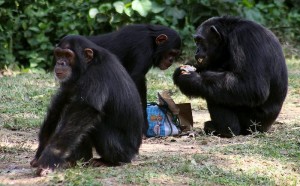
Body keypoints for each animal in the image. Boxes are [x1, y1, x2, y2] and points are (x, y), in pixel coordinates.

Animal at [31, 35, 144, 176]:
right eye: (59, 54)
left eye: (68, 55)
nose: (60, 62)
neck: (87, 66)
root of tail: (135, 152)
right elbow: (61, 101)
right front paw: (40, 153)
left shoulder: (96, 76)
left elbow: (84, 110)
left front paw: (49, 159)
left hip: (123, 151)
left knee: (92, 123)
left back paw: (107, 162)